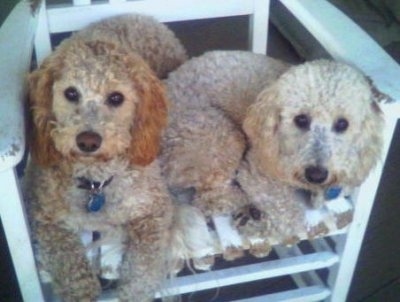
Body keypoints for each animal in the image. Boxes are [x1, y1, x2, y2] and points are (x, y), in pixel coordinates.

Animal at [25, 14, 187, 302]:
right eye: (71, 93)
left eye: (116, 98)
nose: (88, 141)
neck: (95, 183)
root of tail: (137, 16)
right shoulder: (43, 218)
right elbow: (68, 260)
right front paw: (81, 289)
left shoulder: (155, 209)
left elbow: (143, 263)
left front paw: (134, 290)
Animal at [161, 50, 386, 256]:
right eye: (301, 119)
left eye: (342, 124)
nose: (316, 175)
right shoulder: (255, 170)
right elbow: (290, 216)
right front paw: (258, 223)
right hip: (218, 135)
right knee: (208, 200)